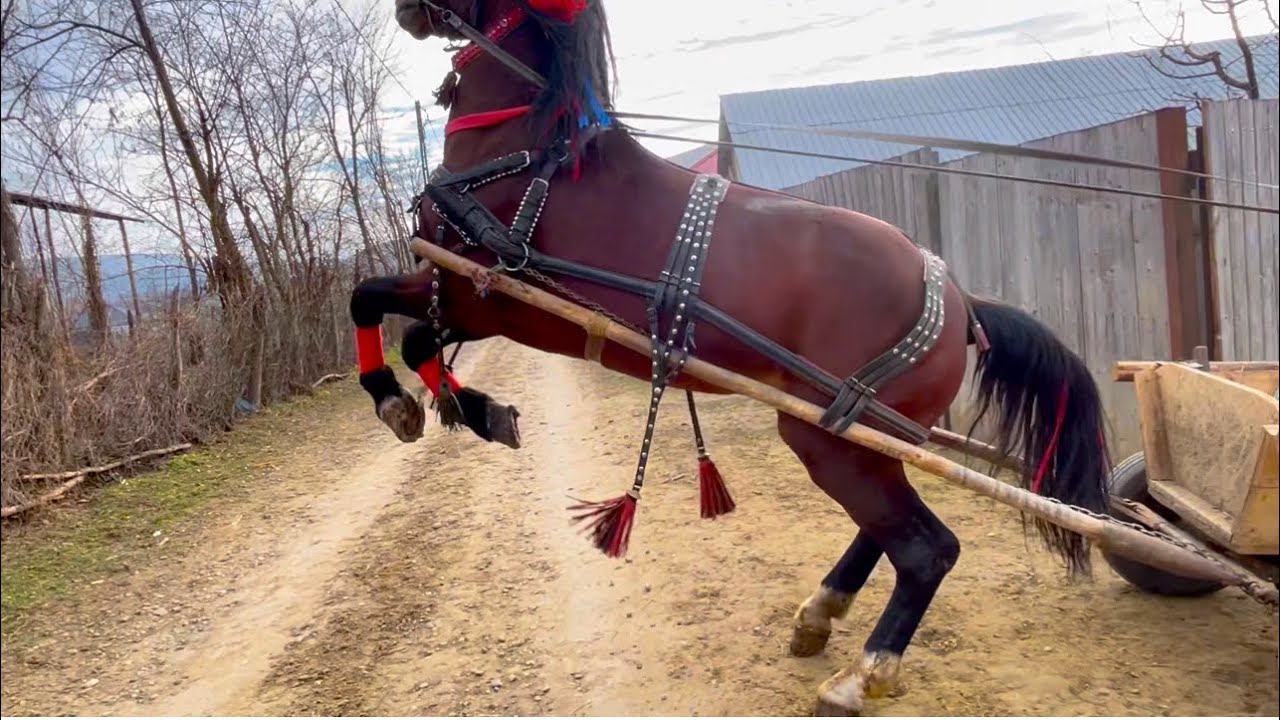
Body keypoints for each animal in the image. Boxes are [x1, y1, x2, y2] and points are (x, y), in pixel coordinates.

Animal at [347, 0, 1113, 713]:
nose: (404, 10)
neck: (526, 149)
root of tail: (960, 300)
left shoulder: (484, 295)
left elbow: (368, 302)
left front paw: (399, 400)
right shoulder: (478, 302)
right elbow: (413, 334)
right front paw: (470, 409)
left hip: (830, 438)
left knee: (927, 549)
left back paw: (862, 675)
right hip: (862, 443)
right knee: (885, 532)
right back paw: (819, 615)